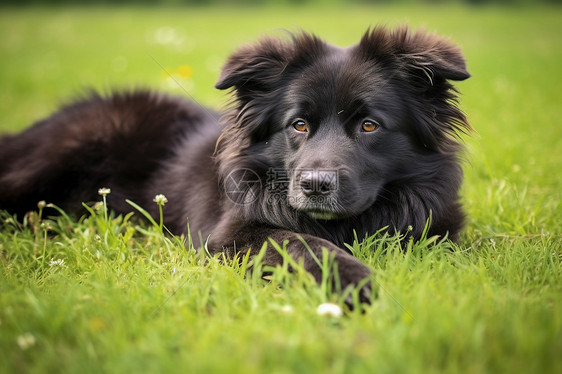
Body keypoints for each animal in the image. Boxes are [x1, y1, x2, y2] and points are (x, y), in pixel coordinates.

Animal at [0, 25, 468, 300]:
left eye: (369, 125)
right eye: (298, 124)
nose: (315, 185)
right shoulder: (230, 235)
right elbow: (301, 243)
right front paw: (355, 282)